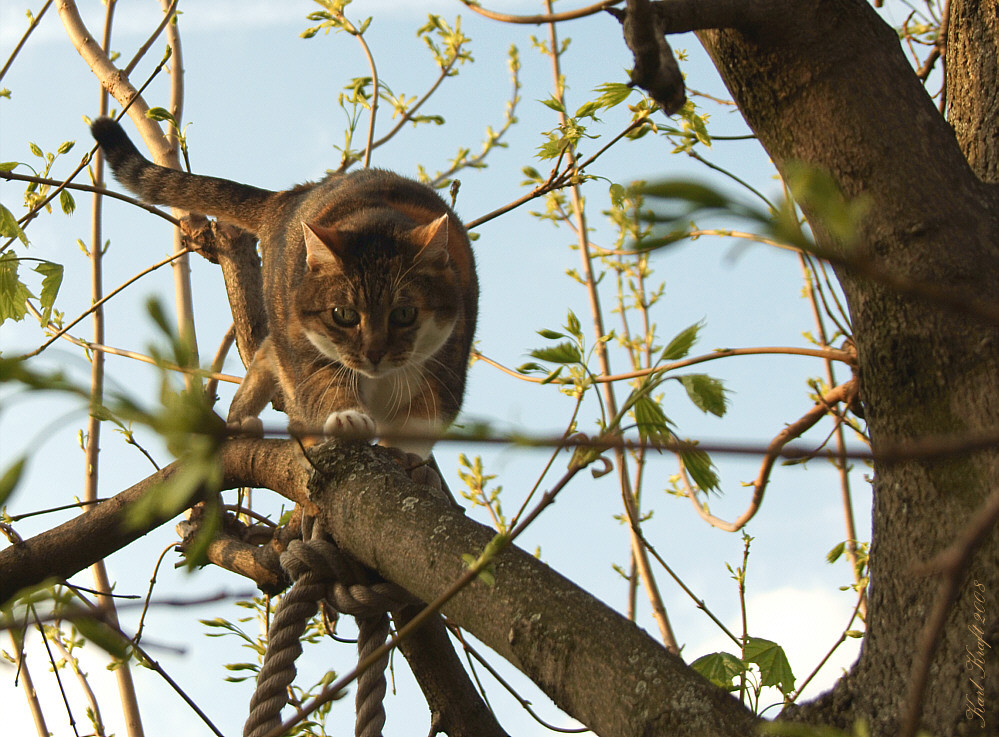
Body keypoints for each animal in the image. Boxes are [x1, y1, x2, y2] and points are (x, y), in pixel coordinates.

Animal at [90, 117, 476, 458]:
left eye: (405, 314)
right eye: (344, 315)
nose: (374, 353)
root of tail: (288, 197)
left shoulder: (448, 364)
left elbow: (423, 419)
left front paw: (404, 454)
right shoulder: (307, 353)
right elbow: (321, 386)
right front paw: (348, 417)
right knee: (270, 359)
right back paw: (243, 419)